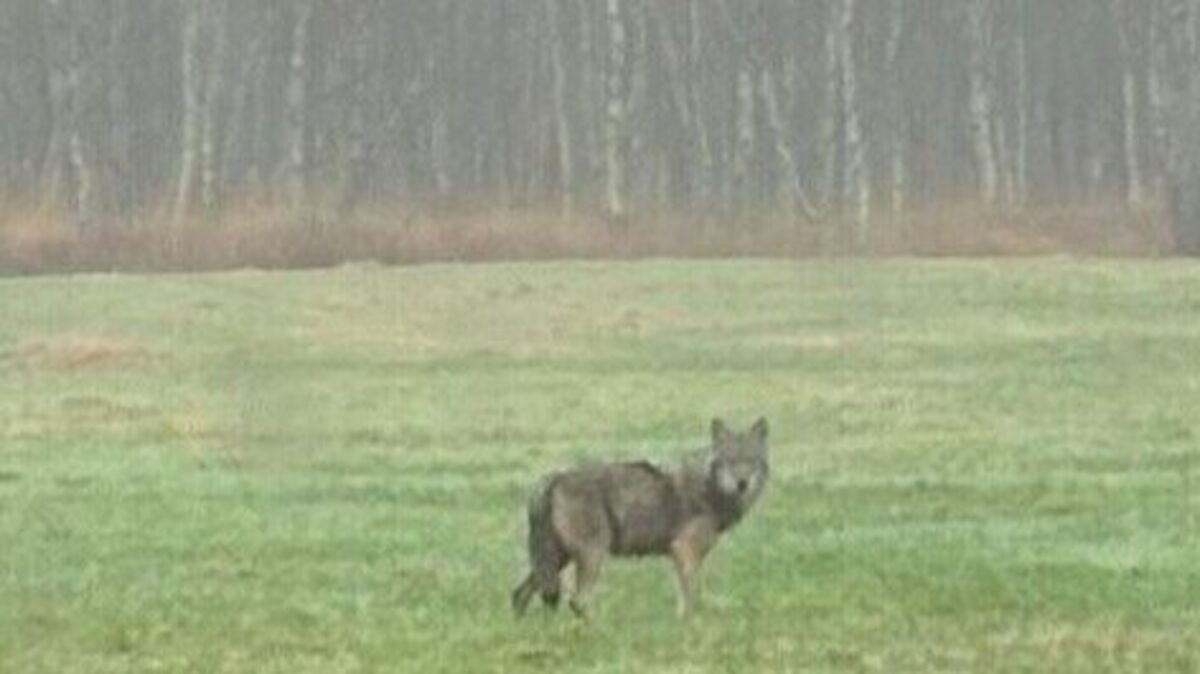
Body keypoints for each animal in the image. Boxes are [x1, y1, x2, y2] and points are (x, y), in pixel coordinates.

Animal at [511, 417, 769, 619]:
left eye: (750, 461)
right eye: (731, 461)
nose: (742, 483)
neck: (710, 488)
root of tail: (553, 477)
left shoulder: (684, 556)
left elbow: (690, 596)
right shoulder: (685, 550)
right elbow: (693, 598)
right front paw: (691, 626)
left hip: (556, 560)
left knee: (521, 593)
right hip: (592, 555)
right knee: (577, 601)